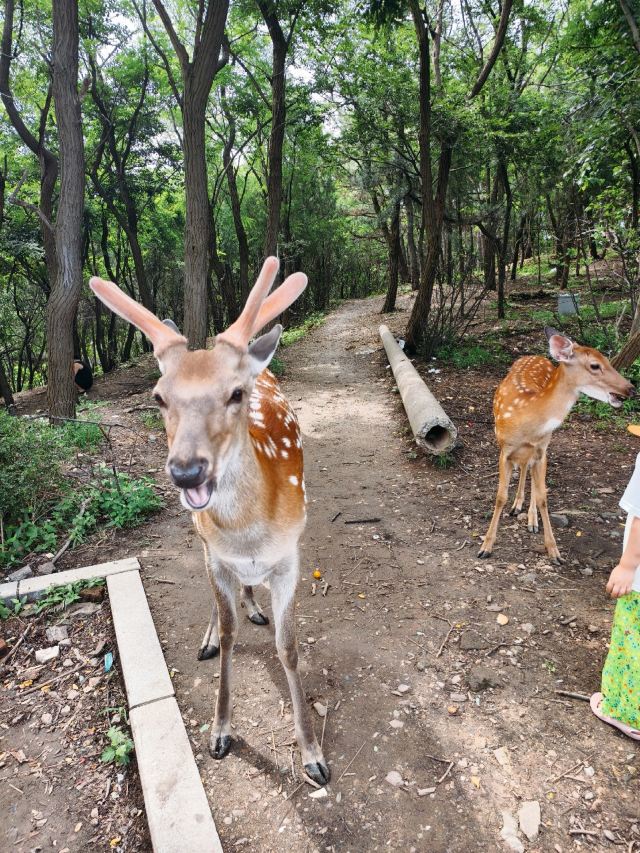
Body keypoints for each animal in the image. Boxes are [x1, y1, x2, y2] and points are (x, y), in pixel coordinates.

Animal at [89, 257, 330, 786]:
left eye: (235, 393)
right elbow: (228, 632)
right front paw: (221, 733)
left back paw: (253, 605)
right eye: (158, 397)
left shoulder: (291, 557)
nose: (186, 471)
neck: (249, 536)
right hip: (200, 541)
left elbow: (288, 647)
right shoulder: (216, 554)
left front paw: (312, 755)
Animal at [478, 327, 635, 564]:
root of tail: (536, 355)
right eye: (595, 365)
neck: (526, 414)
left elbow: (543, 497)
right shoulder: (504, 449)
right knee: (523, 468)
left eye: (607, 360)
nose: (631, 388)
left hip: (544, 446)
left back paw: (531, 519)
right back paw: (517, 506)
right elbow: (500, 497)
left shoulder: (541, 451)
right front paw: (485, 546)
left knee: (530, 473)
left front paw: (554, 551)